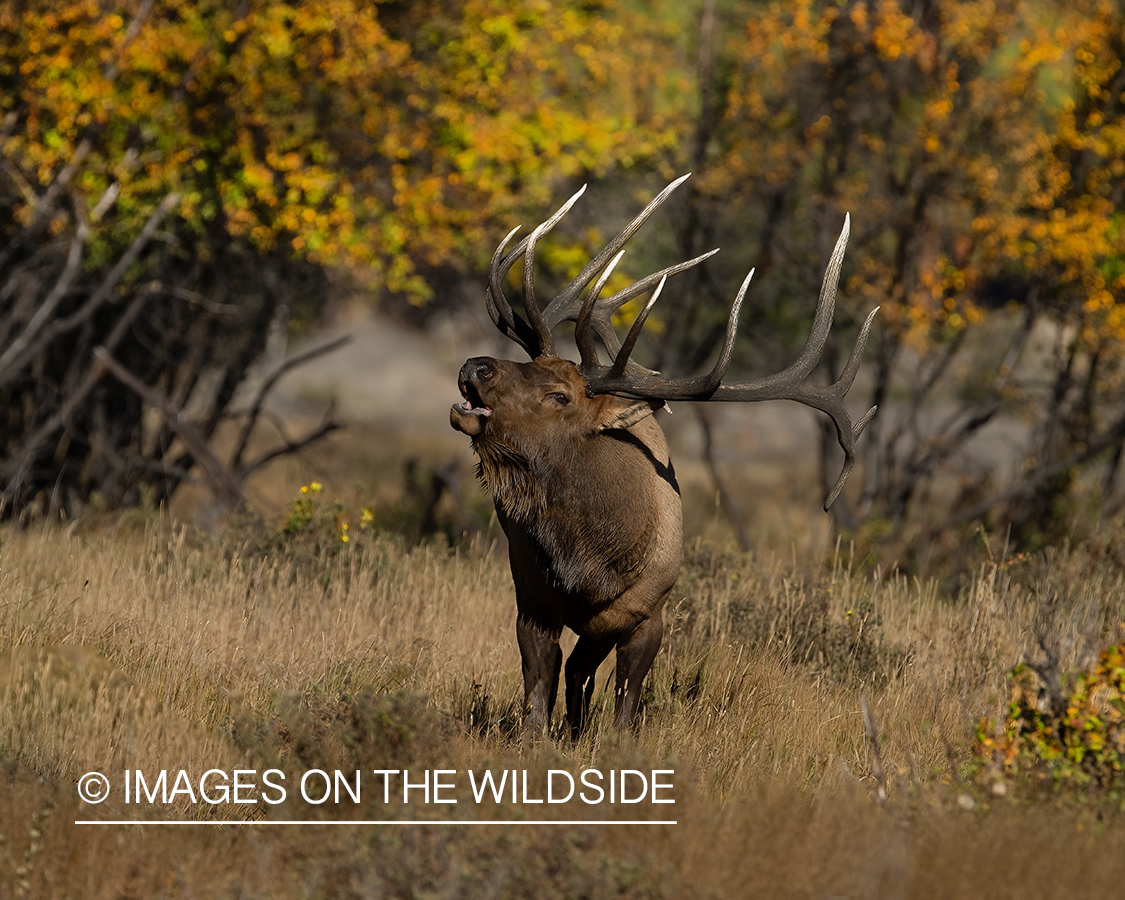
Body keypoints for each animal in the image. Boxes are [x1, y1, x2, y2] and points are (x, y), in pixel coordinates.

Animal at [450, 175, 877, 738]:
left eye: (559, 395)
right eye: (527, 364)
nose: (476, 366)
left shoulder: (648, 613)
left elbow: (625, 709)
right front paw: (539, 743)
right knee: (575, 671)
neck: (592, 566)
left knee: (581, 670)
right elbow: (536, 699)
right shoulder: (533, 602)